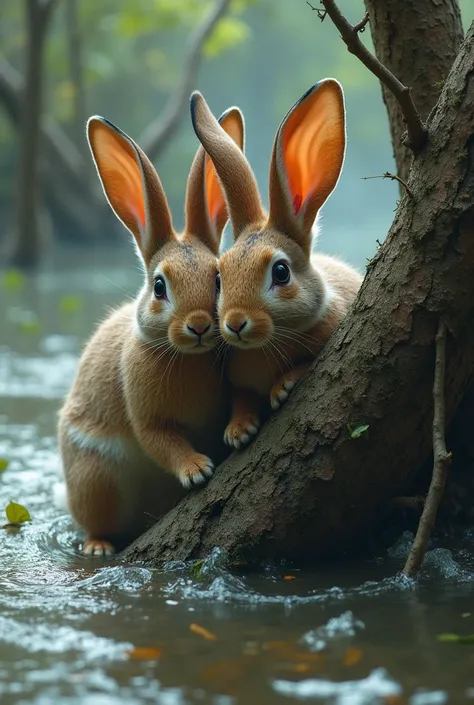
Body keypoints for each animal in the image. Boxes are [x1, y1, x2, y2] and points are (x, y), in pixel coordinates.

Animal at [58, 107, 244, 552]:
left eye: (218, 279)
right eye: (159, 286)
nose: (199, 325)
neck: (189, 358)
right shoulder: (147, 417)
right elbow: (161, 442)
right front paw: (196, 469)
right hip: (96, 479)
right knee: (95, 522)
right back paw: (98, 546)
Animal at [191, 80, 362, 448]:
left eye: (281, 272)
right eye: (219, 278)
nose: (235, 323)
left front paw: (283, 386)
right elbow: (242, 398)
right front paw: (238, 431)